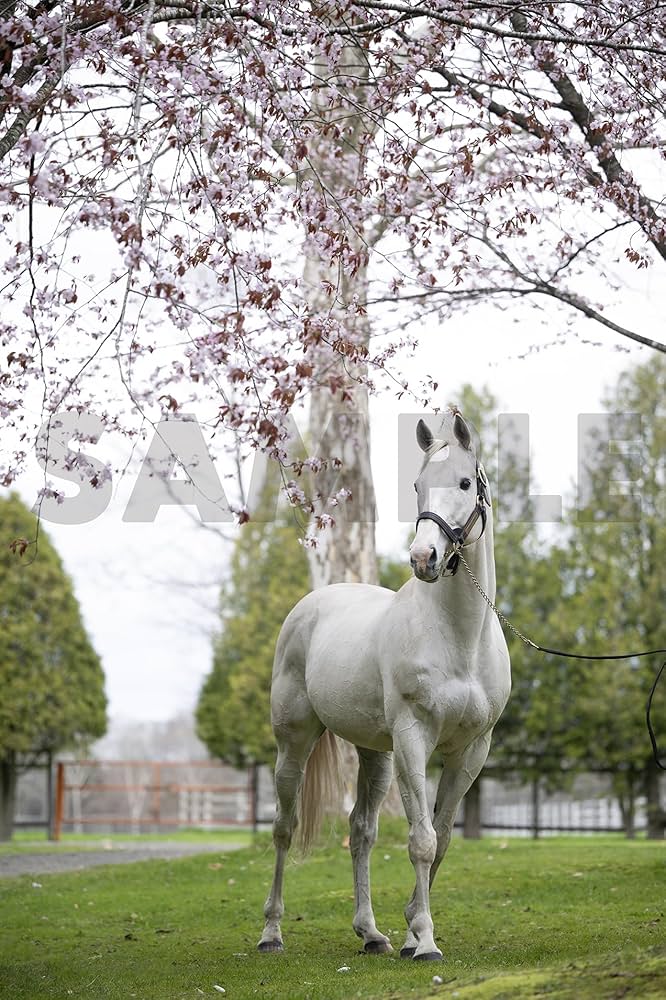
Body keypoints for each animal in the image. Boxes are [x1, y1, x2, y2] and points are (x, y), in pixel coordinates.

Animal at [257, 408, 511, 961]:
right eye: (417, 485)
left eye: (465, 482)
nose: (424, 557)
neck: (459, 638)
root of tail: (310, 606)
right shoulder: (414, 739)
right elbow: (421, 840)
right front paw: (426, 940)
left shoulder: (472, 750)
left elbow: (442, 837)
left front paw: (414, 928)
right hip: (294, 743)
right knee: (284, 829)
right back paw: (271, 932)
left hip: (374, 754)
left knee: (361, 832)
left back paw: (371, 933)